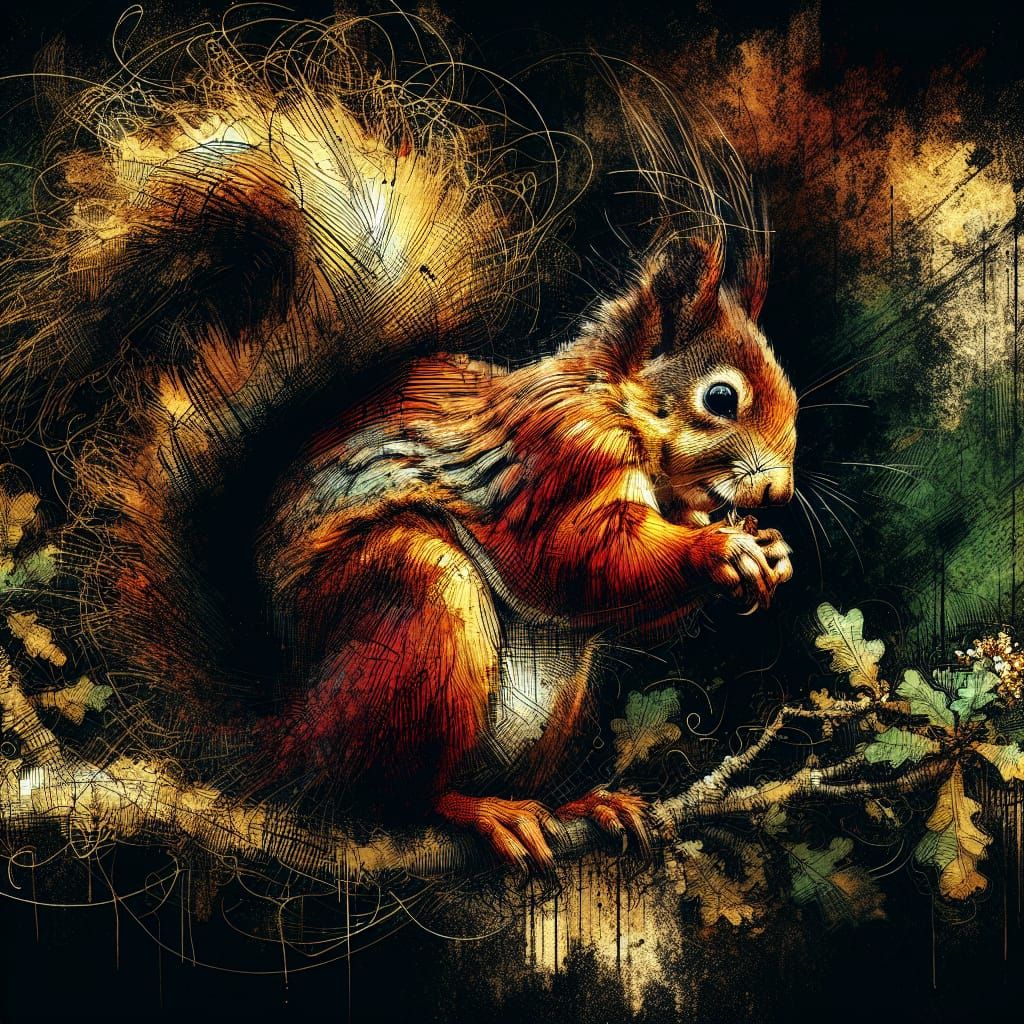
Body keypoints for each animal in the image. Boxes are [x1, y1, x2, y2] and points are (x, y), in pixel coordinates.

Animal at [0, 18, 796, 869]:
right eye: (721, 398)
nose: (778, 491)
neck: (610, 400)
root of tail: (282, 741)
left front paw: (764, 550)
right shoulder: (556, 459)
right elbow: (580, 560)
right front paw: (718, 548)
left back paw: (583, 802)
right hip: (419, 610)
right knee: (390, 795)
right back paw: (482, 811)